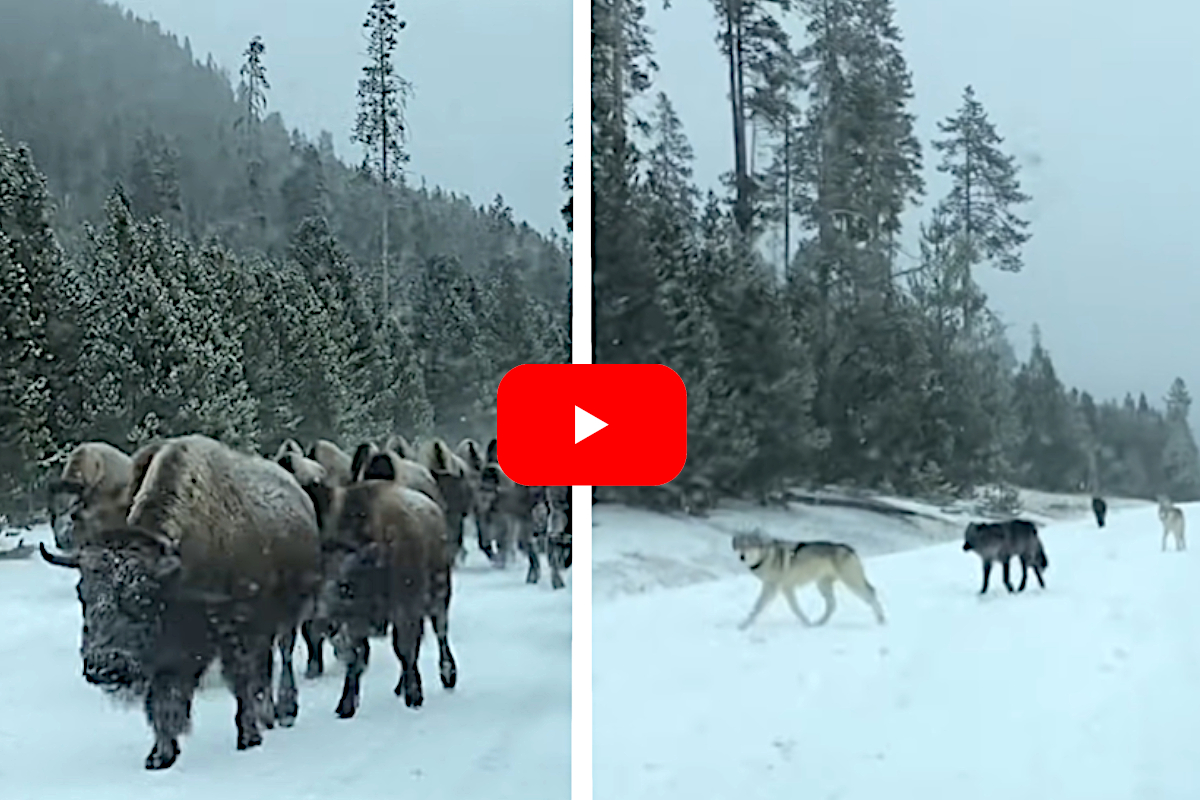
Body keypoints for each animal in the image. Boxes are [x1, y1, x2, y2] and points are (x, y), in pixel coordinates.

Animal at [40, 434, 321, 772]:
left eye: (142, 597)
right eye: (83, 593)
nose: (105, 666)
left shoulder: (237, 632)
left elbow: (241, 684)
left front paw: (248, 737)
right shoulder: (170, 651)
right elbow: (164, 699)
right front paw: (160, 755)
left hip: (286, 617)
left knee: (283, 656)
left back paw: (284, 711)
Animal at [724, 532, 888, 633]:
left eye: (750, 546)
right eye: (740, 546)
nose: (742, 557)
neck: (767, 558)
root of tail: (848, 548)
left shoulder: (772, 588)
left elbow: (756, 608)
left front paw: (743, 626)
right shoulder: (787, 589)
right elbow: (796, 609)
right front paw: (807, 624)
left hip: (852, 583)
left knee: (871, 594)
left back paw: (881, 621)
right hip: (823, 586)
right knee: (832, 605)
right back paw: (819, 624)